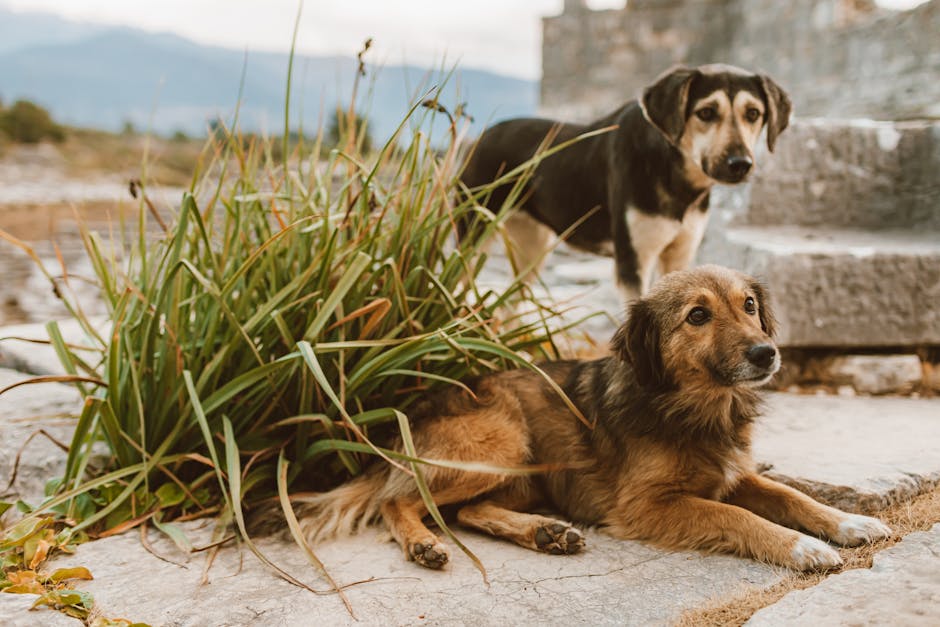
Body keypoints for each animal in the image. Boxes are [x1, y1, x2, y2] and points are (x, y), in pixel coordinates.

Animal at [292, 268, 888, 572]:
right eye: (697, 315)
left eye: (748, 305)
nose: (767, 354)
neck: (697, 409)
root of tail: (417, 408)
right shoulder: (648, 505)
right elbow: (739, 518)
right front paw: (802, 548)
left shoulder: (733, 474)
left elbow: (792, 496)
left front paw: (848, 522)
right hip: (501, 443)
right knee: (398, 501)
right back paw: (423, 544)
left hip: (525, 473)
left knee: (469, 511)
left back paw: (545, 533)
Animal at [458, 65, 788, 300]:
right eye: (706, 113)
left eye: (753, 114)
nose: (740, 164)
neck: (675, 176)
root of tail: (482, 137)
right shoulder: (633, 263)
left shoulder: (680, 257)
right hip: (473, 238)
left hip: (532, 249)